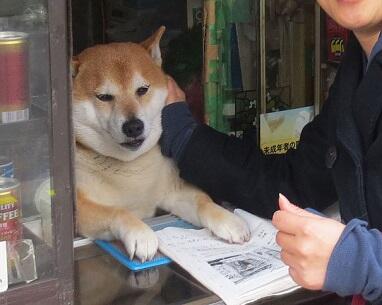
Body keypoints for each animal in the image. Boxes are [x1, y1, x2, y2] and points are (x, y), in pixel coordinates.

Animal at [71, 26, 251, 260]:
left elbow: (204, 202)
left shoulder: (174, 191)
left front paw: (229, 220)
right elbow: (118, 211)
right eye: (104, 97)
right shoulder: (81, 208)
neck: (133, 169)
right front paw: (141, 233)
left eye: (142, 89)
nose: (133, 126)